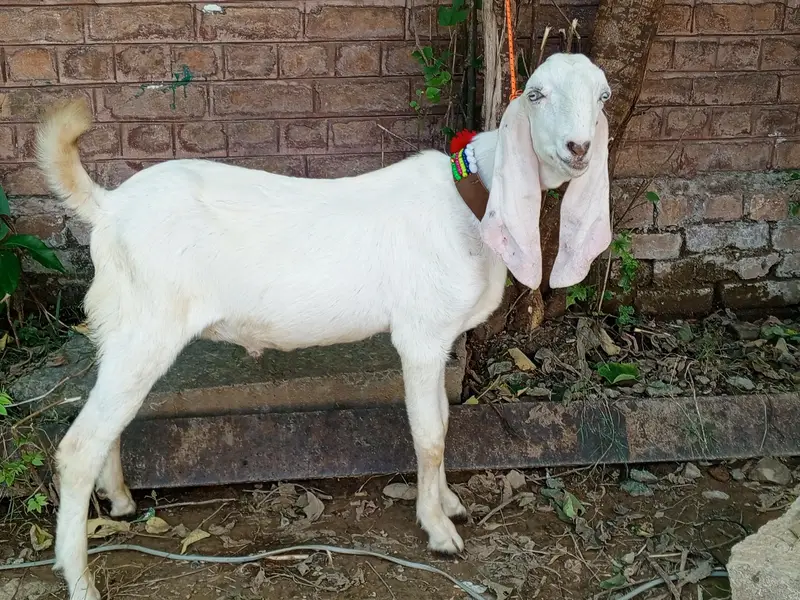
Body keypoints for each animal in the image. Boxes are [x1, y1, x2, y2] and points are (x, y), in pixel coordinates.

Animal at [36, 52, 611, 600]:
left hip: (123, 329)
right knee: (77, 447)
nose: (579, 147)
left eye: (603, 96)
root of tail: (108, 207)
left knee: (107, 424)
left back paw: (119, 501)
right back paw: (80, 581)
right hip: (147, 326)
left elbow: (446, 421)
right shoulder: (421, 337)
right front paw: (437, 528)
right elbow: (429, 434)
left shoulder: (443, 337)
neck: (469, 204)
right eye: (535, 93)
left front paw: (449, 501)